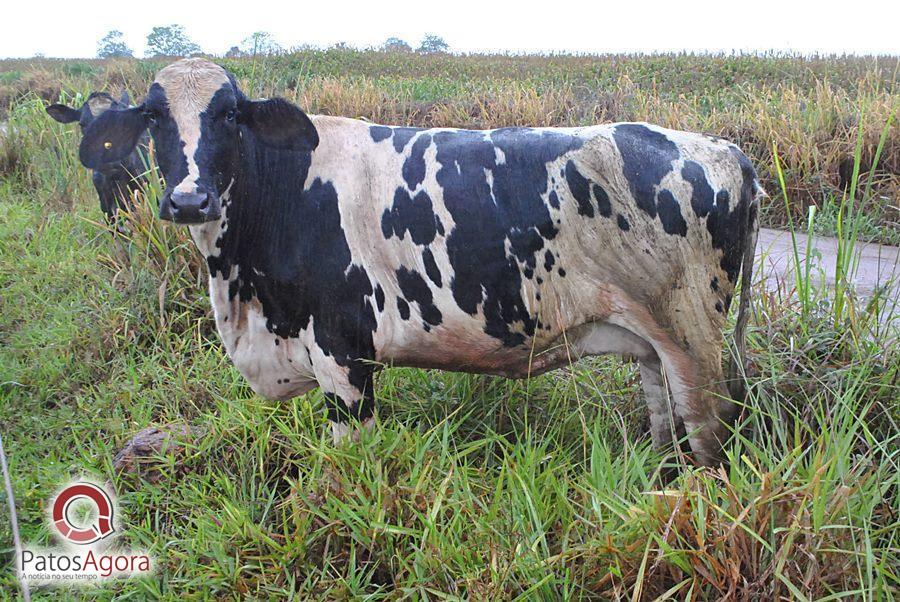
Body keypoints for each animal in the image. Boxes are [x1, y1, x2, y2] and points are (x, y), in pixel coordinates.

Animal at [79, 58, 760, 464]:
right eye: (153, 116)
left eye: (228, 113)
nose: (188, 199)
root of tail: (721, 148)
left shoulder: (342, 355)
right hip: (652, 340)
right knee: (662, 416)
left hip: (694, 338)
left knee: (710, 430)